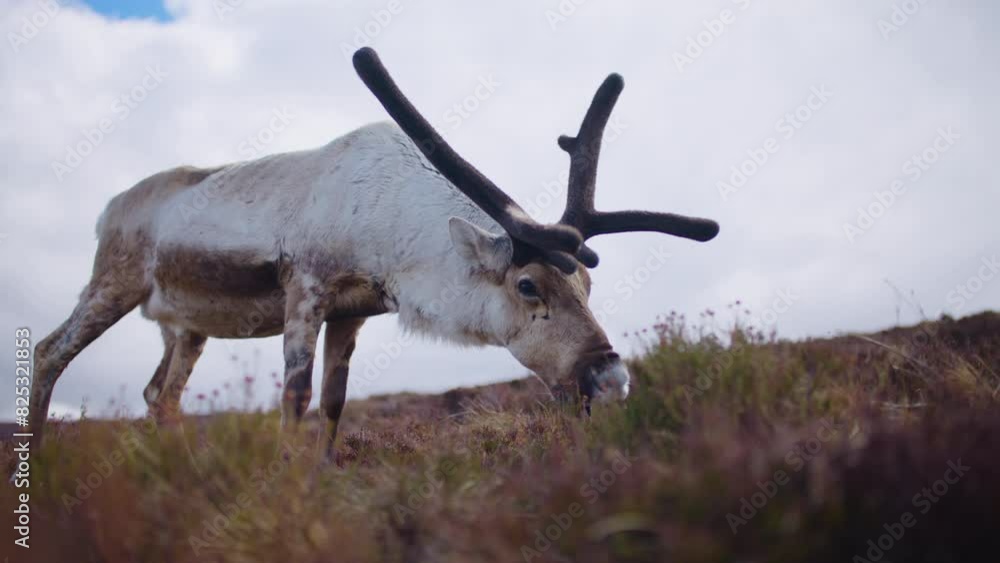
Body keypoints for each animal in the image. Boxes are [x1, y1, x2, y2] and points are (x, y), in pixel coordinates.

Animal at [28, 47, 719, 450]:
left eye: (588, 283)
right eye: (528, 285)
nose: (610, 377)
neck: (388, 237)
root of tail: (108, 208)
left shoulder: (353, 311)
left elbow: (334, 405)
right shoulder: (306, 289)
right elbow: (296, 397)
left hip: (185, 324)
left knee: (159, 397)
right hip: (112, 282)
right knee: (50, 352)